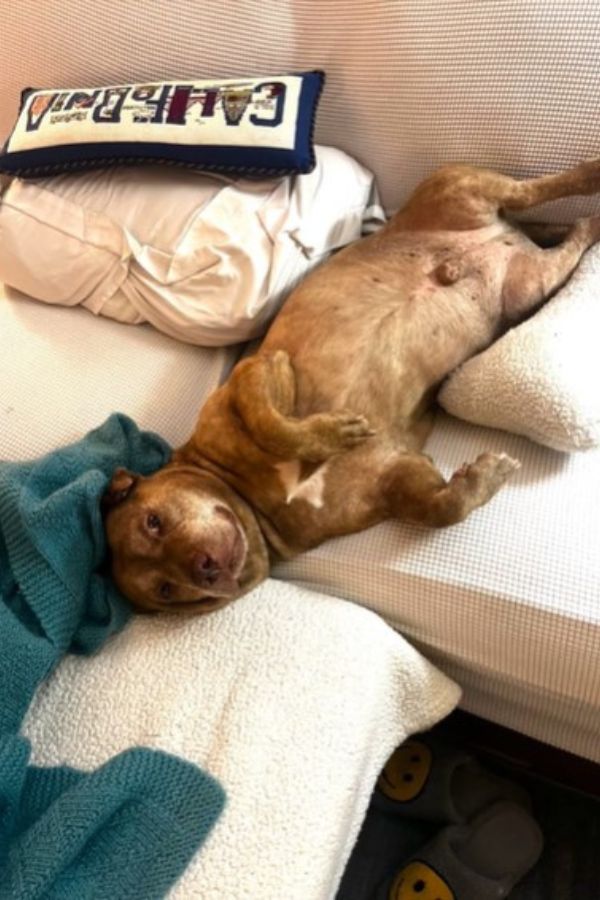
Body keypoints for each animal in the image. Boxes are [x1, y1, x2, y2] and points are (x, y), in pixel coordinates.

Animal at [104, 160, 600, 612]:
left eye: (153, 522)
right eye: (165, 591)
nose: (203, 568)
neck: (252, 496)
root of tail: (505, 235)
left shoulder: (255, 371)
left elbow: (273, 425)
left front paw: (330, 434)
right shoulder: (398, 477)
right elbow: (443, 508)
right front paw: (483, 475)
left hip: (463, 186)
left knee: (538, 190)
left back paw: (588, 178)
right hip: (531, 284)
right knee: (568, 242)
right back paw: (581, 225)